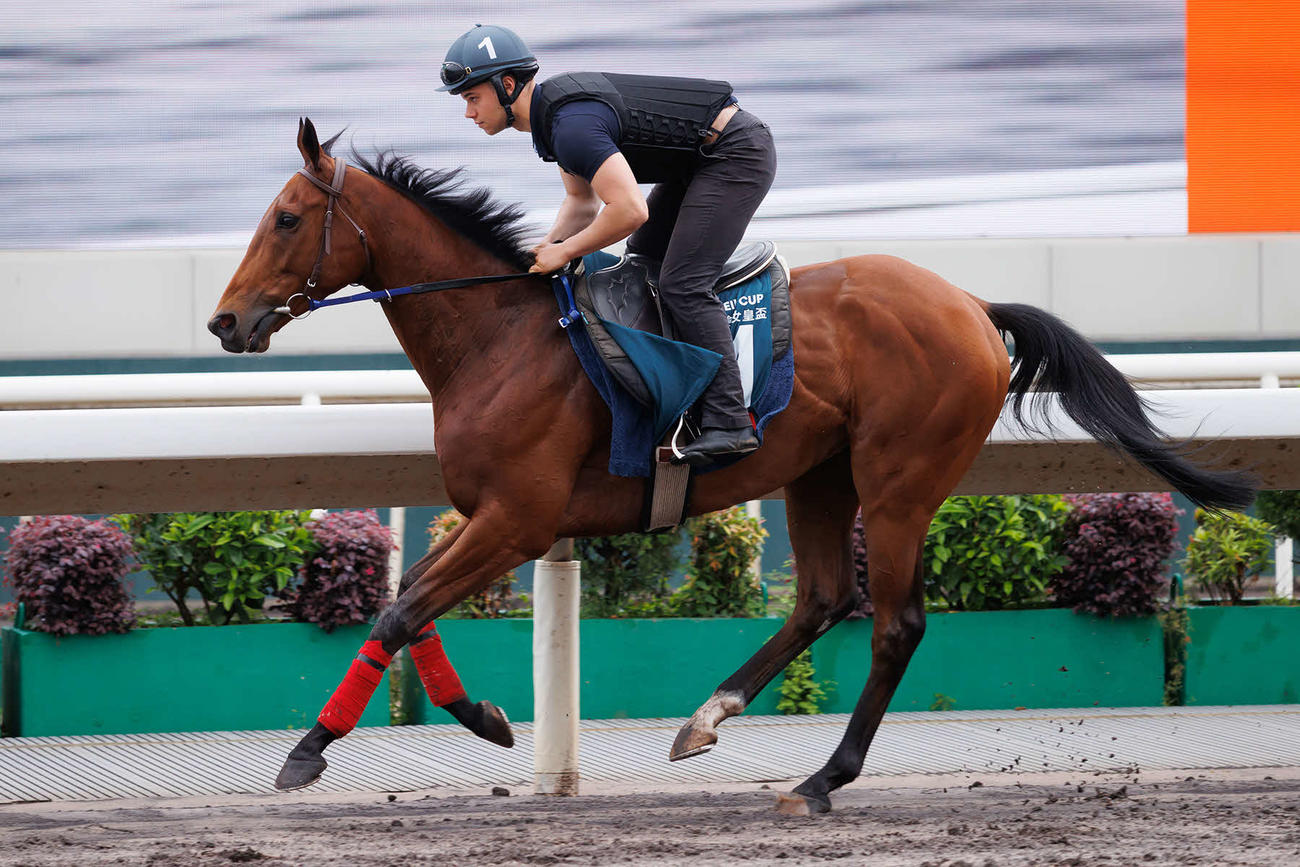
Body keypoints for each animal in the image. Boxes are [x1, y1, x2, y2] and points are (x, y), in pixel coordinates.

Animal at [208, 118, 1253, 814]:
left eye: (289, 217)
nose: (225, 320)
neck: (499, 338)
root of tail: (968, 303)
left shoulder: (523, 517)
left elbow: (400, 608)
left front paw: (309, 750)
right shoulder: (494, 516)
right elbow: (413, 600)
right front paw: (489, 717)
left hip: (900, 479)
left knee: (894, 623)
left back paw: (822, 778)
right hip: (820, 475)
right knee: (823, 597)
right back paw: (708, 717)